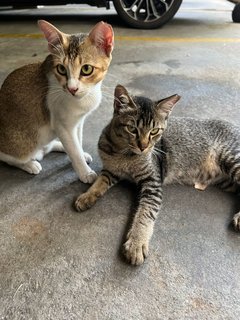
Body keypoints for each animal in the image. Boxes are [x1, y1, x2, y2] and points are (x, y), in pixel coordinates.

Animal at [0, 20, 114, 184]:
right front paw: (85, 172)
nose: (72, 89)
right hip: (23, 144)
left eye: (86, 69)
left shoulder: (78, 121)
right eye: (61, 69)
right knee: (10, 157)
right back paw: (29, 164)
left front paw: (81, 154)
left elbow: (77, 141)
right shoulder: (63, 125)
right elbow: (74, 150)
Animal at [74, 84, 240, 264]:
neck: (122, 154)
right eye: (132, 129)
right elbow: (98, 183)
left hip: (232, 158)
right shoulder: (110, 171)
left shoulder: (152, 182)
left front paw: (136, 243)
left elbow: (145, 213)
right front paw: (87, 196)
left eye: (154, 131)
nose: (143, 147)